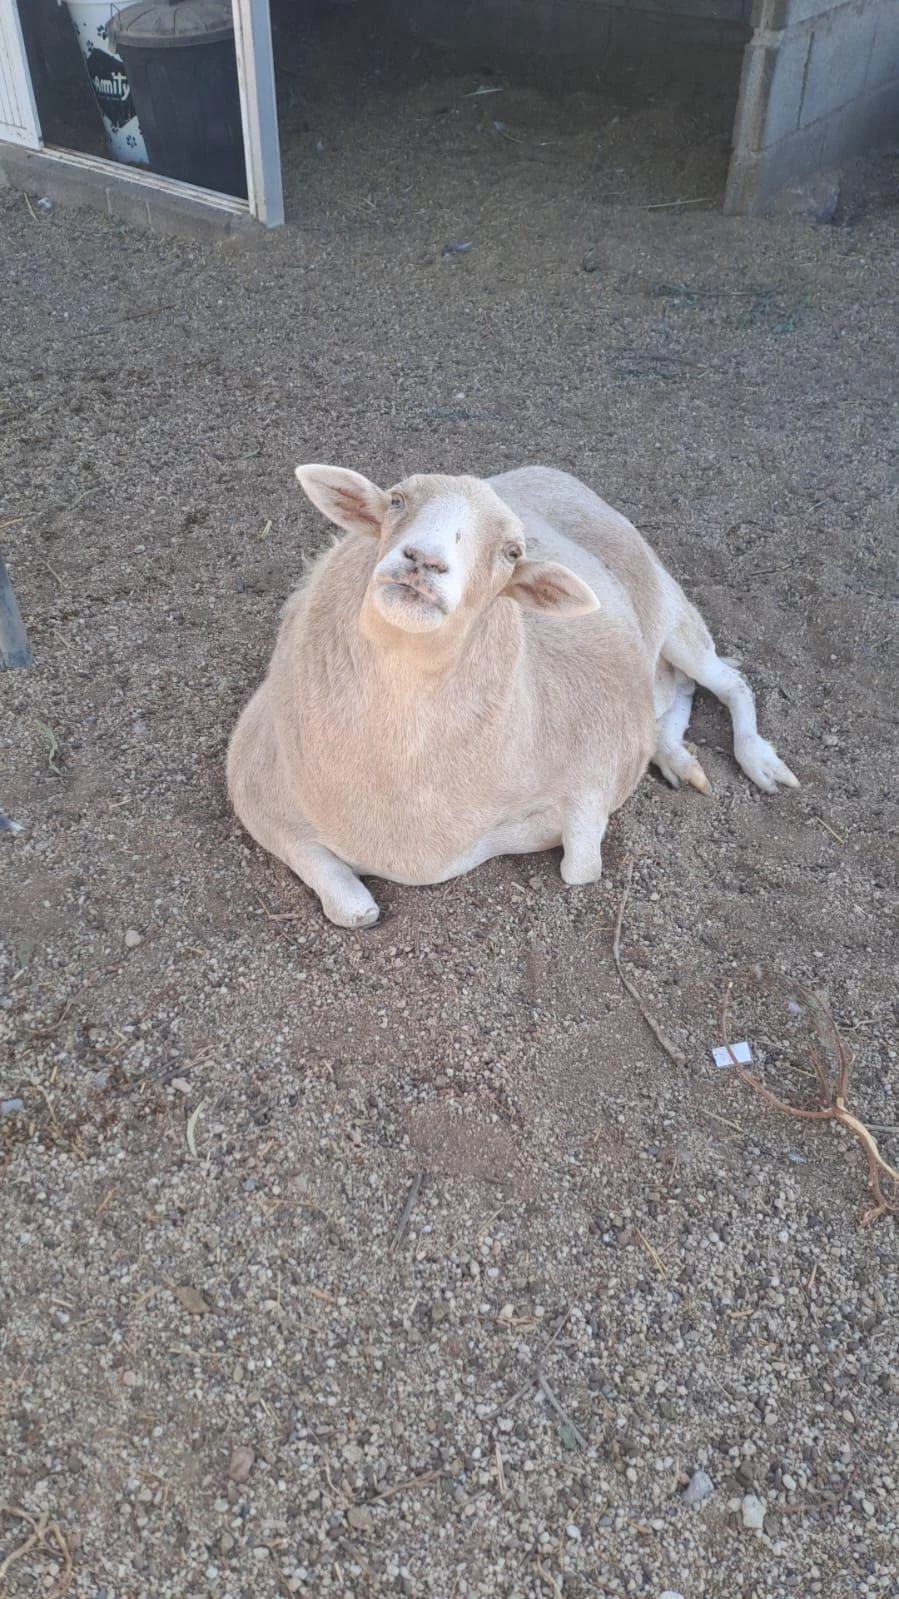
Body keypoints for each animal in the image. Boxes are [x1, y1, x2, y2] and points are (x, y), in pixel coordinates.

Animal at [227, 464, 797, 928]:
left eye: (512, 553)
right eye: (396, 500)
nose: (423, 560)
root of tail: (549, 472)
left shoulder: (596, 757)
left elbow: (580, 867)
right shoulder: (250, 784)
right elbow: (353, 909)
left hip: (674, 609)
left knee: (728, 683)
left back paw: (761, 762)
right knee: (677, 689)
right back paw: (675, 754)